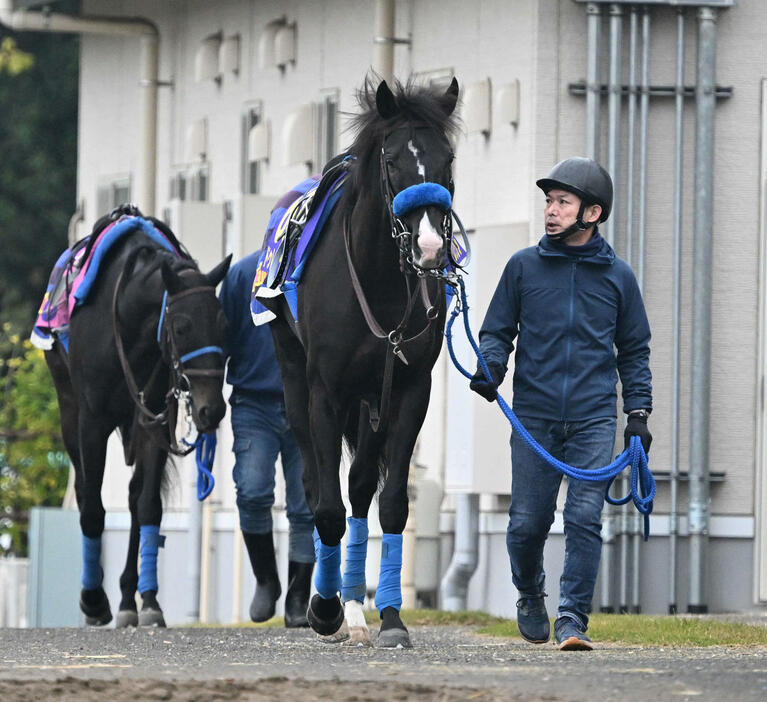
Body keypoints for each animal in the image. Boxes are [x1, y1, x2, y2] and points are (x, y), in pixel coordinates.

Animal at [44, 212, 231, 628]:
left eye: (224, 324)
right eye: (181, 327)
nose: (212, 410)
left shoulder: (155, 420)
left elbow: (148, 506)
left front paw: (148, 601)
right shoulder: (92, 421)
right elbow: (92, 506)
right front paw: (94, 602)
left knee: (132, 497)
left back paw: (129, 597)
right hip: (69, 409)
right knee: (85, 491)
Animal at [260, 78, 460, 648]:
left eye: (447, 159)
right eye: (393, 162)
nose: (430, 246)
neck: (377, 279)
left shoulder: (409, 389)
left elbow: (389, 502)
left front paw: (390, 617)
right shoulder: (326, 394)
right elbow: (325, 506)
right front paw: (322, 609)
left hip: (374, 401)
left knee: (360, 487)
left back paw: (354, 607)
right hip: (294, 379)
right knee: (317, 487)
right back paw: (332, 606)